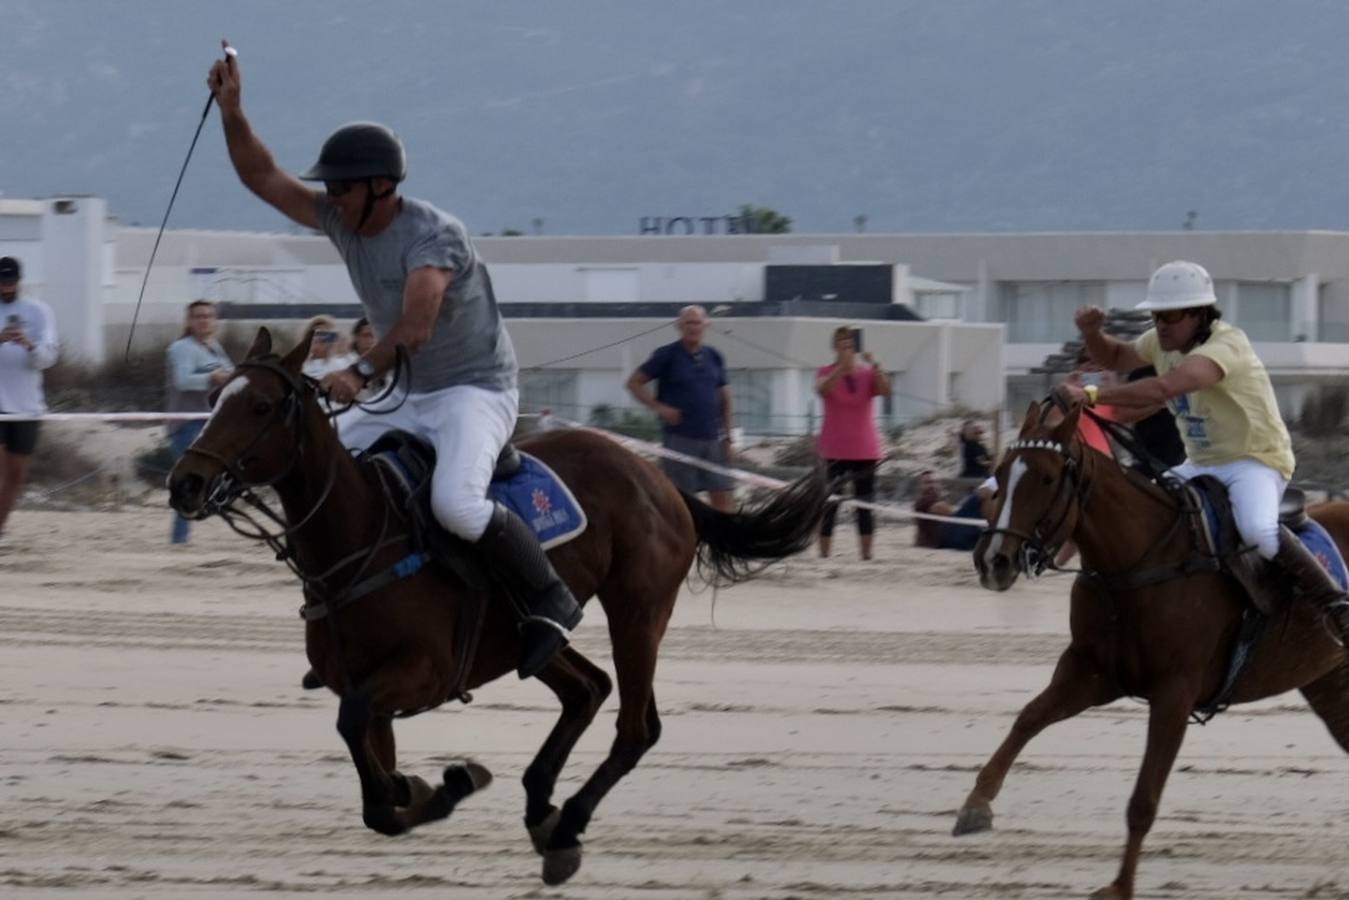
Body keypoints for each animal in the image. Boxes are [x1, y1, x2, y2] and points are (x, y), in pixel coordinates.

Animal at [163, 327, 825, 885]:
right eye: (215, 396)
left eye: (261, 406)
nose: (184, 483)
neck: (359, 542)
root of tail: (663, 481)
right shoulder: (365, 687)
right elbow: (379, 777)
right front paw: (425, 786)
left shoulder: (419, 674)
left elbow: (366, 761)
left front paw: (447, 784)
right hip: (531, 636)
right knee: (587, 688)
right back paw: (540, 805)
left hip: (638, 613)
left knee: (635, 727)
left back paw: (567, 822)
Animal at [960, 402, 1349, 900]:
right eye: (999, 473)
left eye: (1046, 478)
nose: (994, 561)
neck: (1136, 563)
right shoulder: (1091, 671)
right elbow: (1028, 718)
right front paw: (976, 804)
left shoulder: (1173, 693)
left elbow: (1144, 799)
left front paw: (1119, 886)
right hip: (1329, 683)